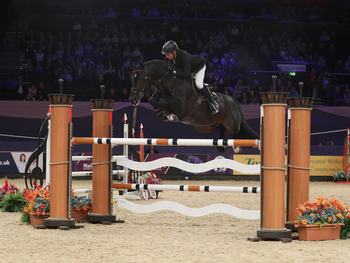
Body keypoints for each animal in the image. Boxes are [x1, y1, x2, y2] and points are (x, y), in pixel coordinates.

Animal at [129, 58, 260, 152]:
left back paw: (236, 147)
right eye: (132, 78)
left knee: (236, 131)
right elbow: (153, 100)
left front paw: (169, 115)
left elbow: (163, 102)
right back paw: (221, 147)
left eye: (141, 78)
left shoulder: (182, 108)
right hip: (205, 126)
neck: (170, 83)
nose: (133, 99)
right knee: (221, 128)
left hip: (231, 123)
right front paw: (163, 114)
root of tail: (232, 100)